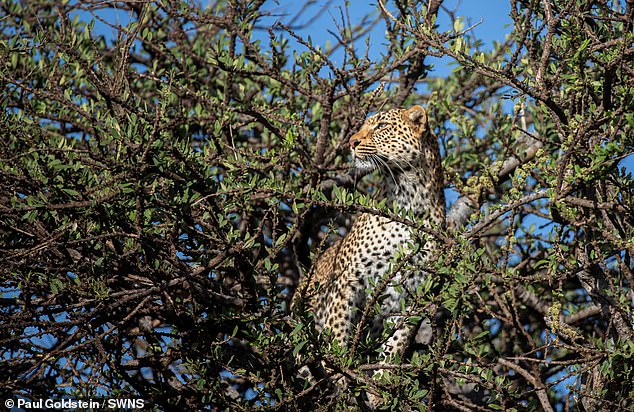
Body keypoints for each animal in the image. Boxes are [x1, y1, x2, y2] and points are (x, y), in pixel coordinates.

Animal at [298, 104, 444, 408]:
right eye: (364, 126)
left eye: (382, 126)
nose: (352, 142)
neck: (409, 196)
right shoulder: (347, 280)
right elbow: (337, 332)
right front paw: (339, 376)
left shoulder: (409, 296)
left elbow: (394, 348)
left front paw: (380, 389)